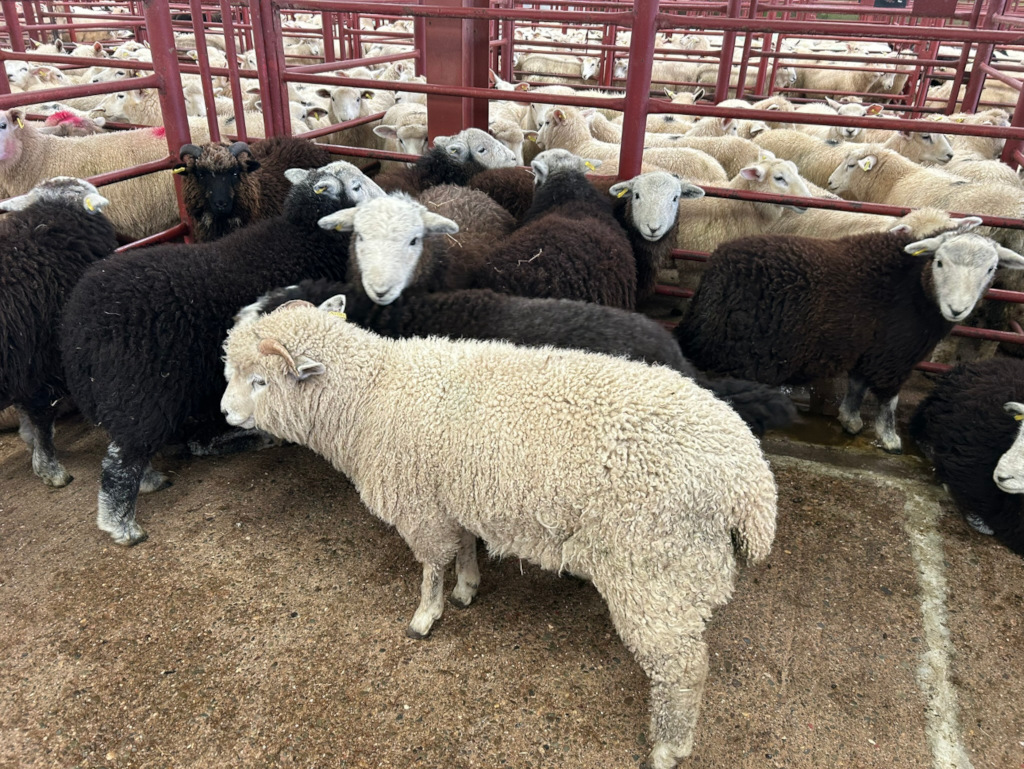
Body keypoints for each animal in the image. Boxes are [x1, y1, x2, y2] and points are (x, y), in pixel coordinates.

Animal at [60, 161, 383, 546]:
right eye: (355, 187)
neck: (303, 238)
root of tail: (77, 327)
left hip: (126, 395)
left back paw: (151, 479)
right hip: (139, 390)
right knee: (120, 463)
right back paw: (122, 525)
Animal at [220, 301, 777, 769]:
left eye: (260, 381)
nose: (224, 412)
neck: (373, 393)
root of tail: (751, 484)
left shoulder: (421, 507)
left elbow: (431, 566)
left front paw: (425, 616)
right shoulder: (455, 496)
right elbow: (465, 546)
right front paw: (467, 588)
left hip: (655, 569)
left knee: (683, 668)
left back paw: (668, 748)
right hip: (678, 568)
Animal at [677, 220, 1024, 452]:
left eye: (991, 269)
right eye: (939, 262)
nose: (957, 309)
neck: (916, 288)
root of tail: (714, 273)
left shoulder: (869, 349)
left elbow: (857, 386)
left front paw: (850, 420)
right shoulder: (893, 355)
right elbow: (889, 401)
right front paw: (890, 438)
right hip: (741, 353)